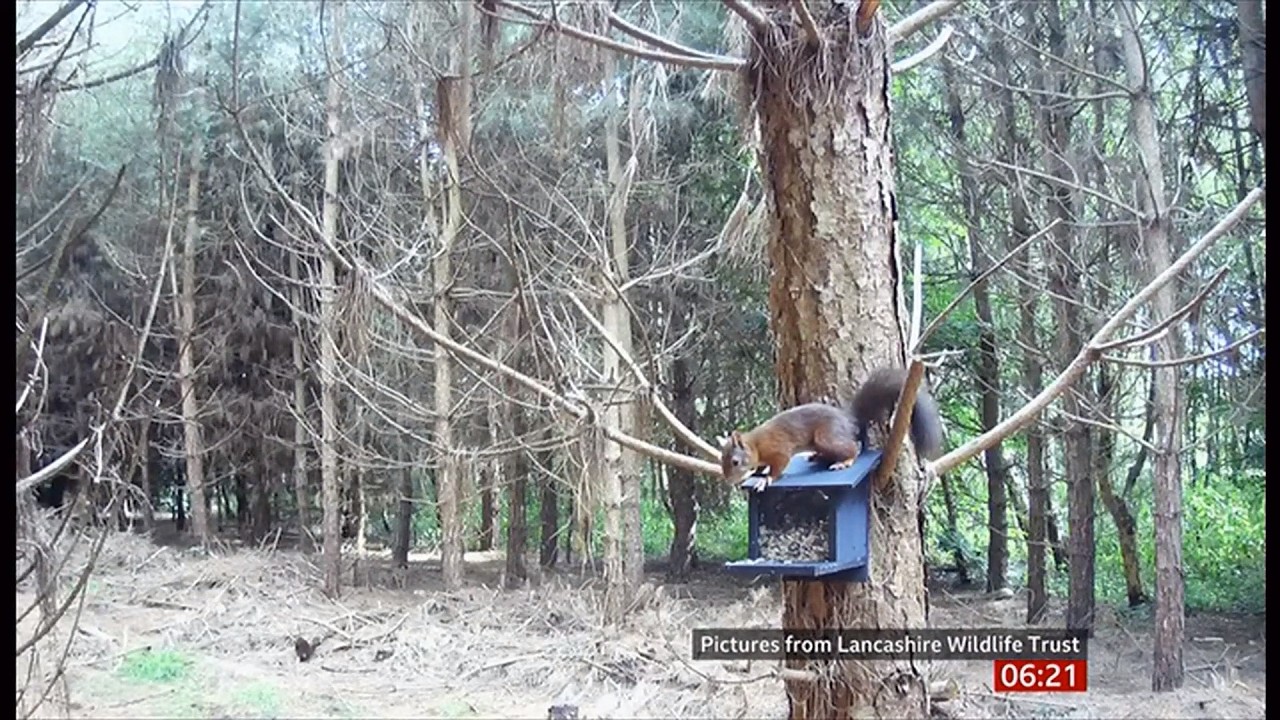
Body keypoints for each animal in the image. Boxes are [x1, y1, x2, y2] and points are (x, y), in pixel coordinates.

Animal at [719, 366, 944, 492]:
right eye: (721, 460)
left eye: (735, 461)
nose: (727, 480)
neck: (756, 445)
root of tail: (849, 420)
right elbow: (760, 467)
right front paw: (756, 473)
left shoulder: (778, 449)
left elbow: (778, 467)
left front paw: (765, 480)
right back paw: (817, 457)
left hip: (826, 437)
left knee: (853, 447)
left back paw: (844, 462)